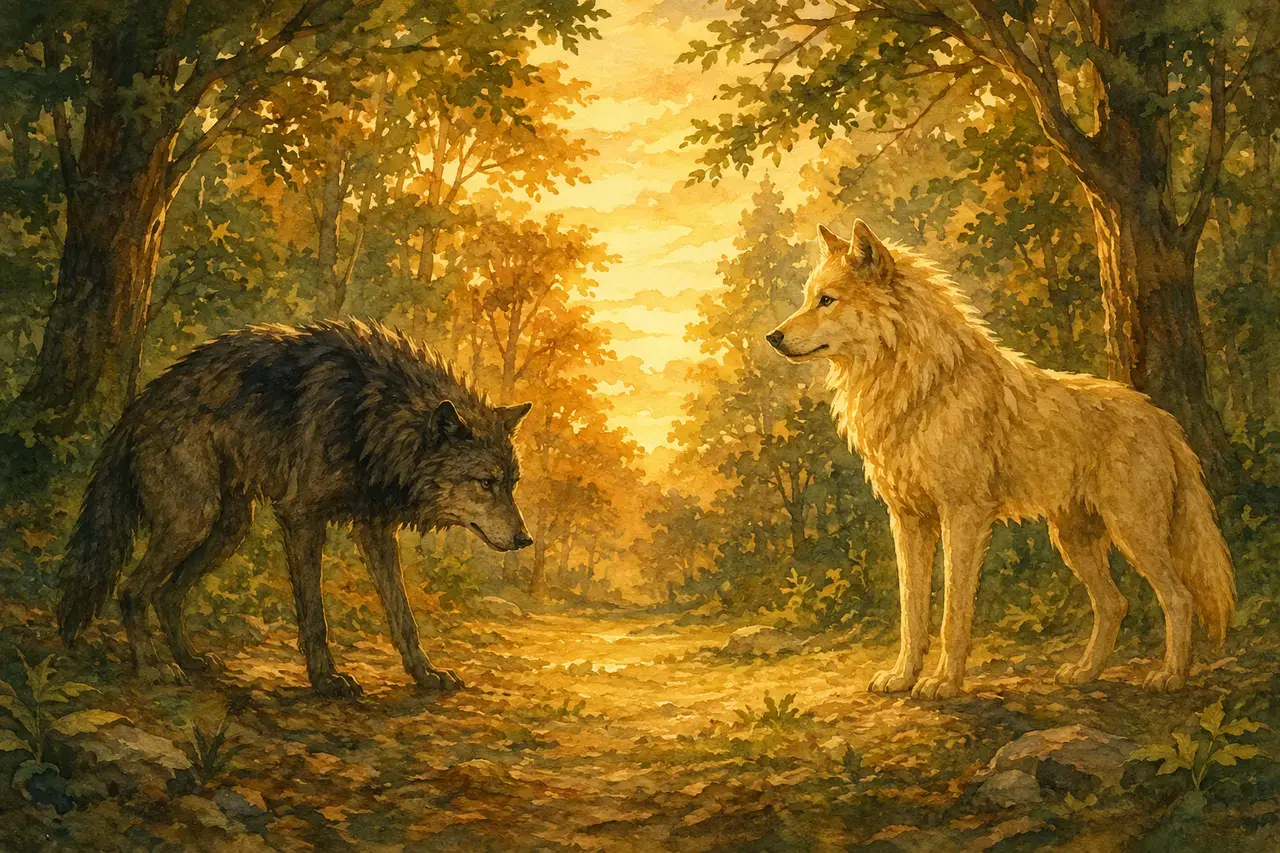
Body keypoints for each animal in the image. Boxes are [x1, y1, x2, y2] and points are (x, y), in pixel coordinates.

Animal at [57, 320, 534, 698]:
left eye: (513, 484)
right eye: (486, 483)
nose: (525, 539)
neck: (374, 415)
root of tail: (138, 404)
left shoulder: (375, 530)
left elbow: (404, 617)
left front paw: (425, 674)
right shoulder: (302, 517)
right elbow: (314, 615)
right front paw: (326, 680)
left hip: (229, 529)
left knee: (167, 593)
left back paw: (190, 660)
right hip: (193, 521)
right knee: (133, 590)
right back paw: (152, 667)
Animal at [768, 220, 1235, 698]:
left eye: (827, 300)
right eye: (809, 298)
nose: (773, 337)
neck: (918, 385)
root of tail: (1162, 417)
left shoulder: (963, 516)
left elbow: (953, 613)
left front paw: (943, 683)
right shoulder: (908, 520)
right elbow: (911, 614)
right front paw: (902, 676)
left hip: (1134, 533)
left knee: (1178, 597)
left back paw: (1170, 676)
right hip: (1074, 540)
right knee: (1115, 604)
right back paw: (1085, 672)